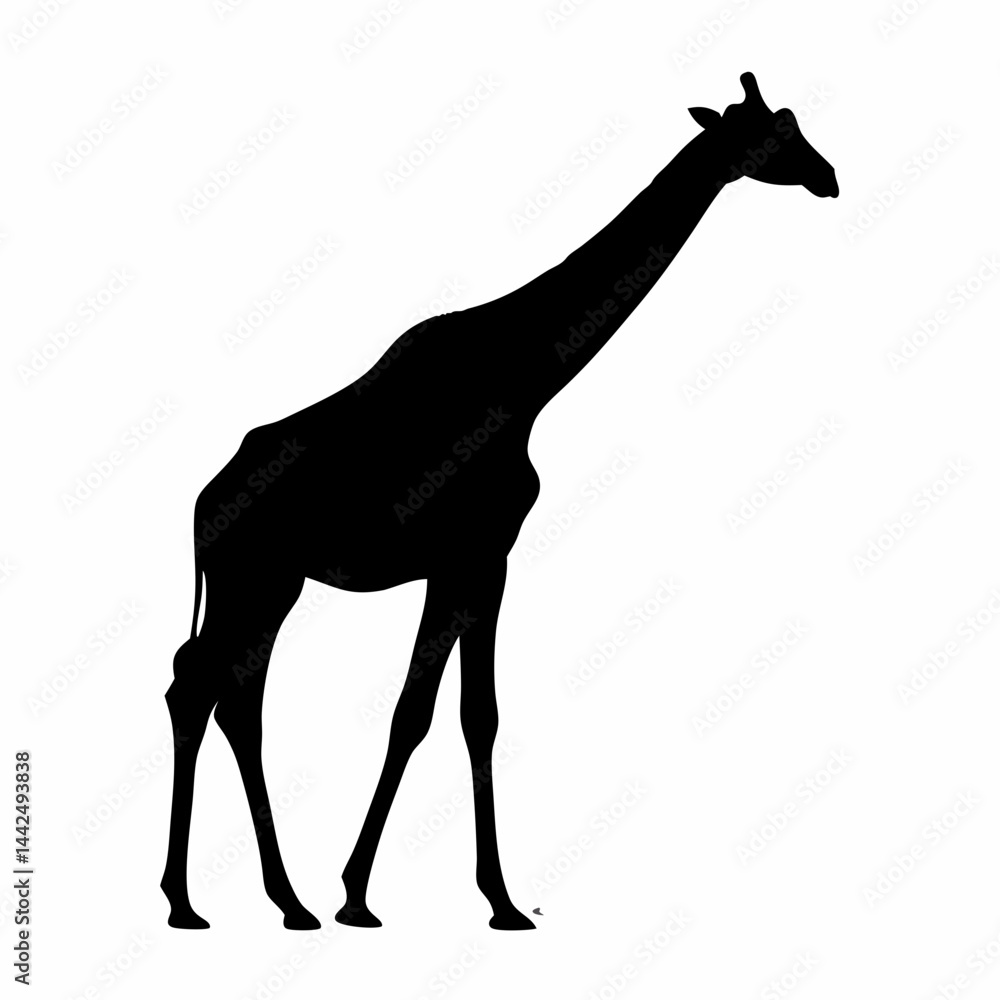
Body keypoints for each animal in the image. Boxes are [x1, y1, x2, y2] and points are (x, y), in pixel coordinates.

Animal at [160, 72, 838, 932]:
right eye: (771, 134)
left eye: (794, 125)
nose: (828, 176)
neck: (531, 376)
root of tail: (201, 504)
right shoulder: (473, 554)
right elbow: (425, 715)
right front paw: (367, 896)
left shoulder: (476, 562)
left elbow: (467, 717)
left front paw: (490, 900)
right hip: (256, 578)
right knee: (210, 691)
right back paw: (207, 902)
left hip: (262, 584)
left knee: (219, 694)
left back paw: (268, 900)